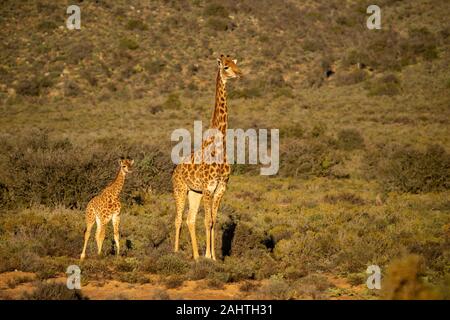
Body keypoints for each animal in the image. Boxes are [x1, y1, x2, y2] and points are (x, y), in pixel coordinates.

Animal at [172, 55, 243, 260]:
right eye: (226, 67)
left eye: (236, 64)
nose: (239, 74)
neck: (220, 146)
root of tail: (175, 171)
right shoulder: (208, 188)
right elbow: (207, 221)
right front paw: (208, 256)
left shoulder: (220, 188)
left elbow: (213, 220)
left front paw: (212, 257)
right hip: (180, 190)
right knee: (178, 219)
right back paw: (176, 252)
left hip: (194, 192)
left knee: (190, 219)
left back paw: (195, 256)